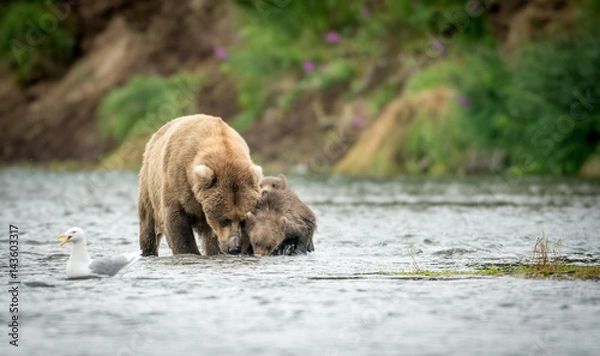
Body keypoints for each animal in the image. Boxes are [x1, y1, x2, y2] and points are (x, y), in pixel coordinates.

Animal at [141, 114, 264, 256]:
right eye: (225, 219)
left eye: (242, 221)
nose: (234, 248)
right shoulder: (178, 178)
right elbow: (177, 222)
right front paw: (188, 251)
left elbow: (213, 237)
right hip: (149, 182)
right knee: (148, 221)